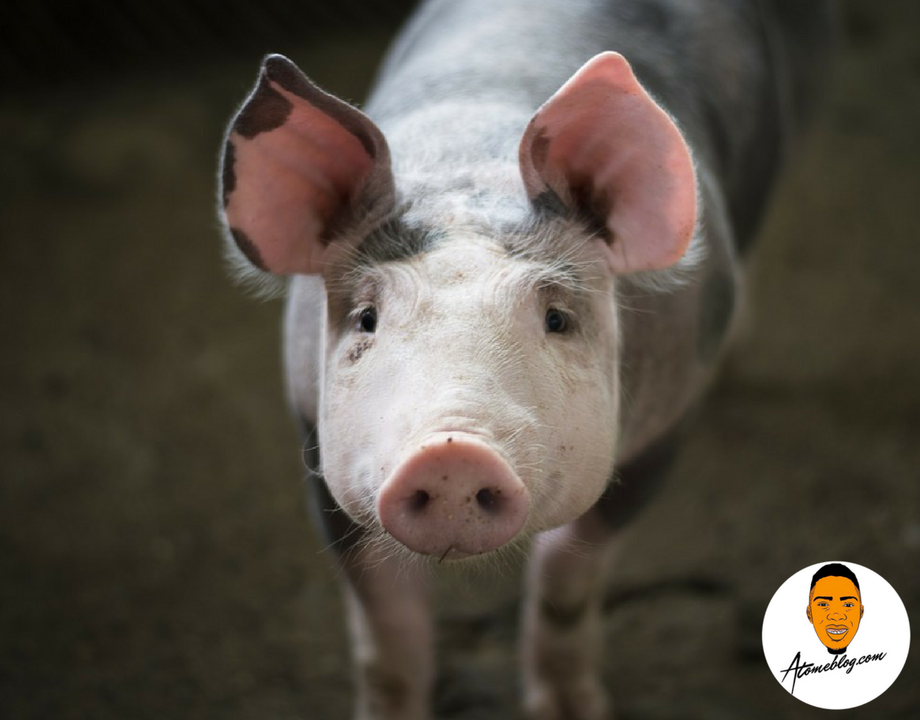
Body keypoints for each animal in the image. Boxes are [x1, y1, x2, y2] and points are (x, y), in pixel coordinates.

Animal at [218, 0, 832, 717]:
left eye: (556, 318)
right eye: (367, 318)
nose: (451, 452)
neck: (472, 163)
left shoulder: (665, 425)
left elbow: (568, 580)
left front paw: (573, 708)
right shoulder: (315, 437)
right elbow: (385, 624)